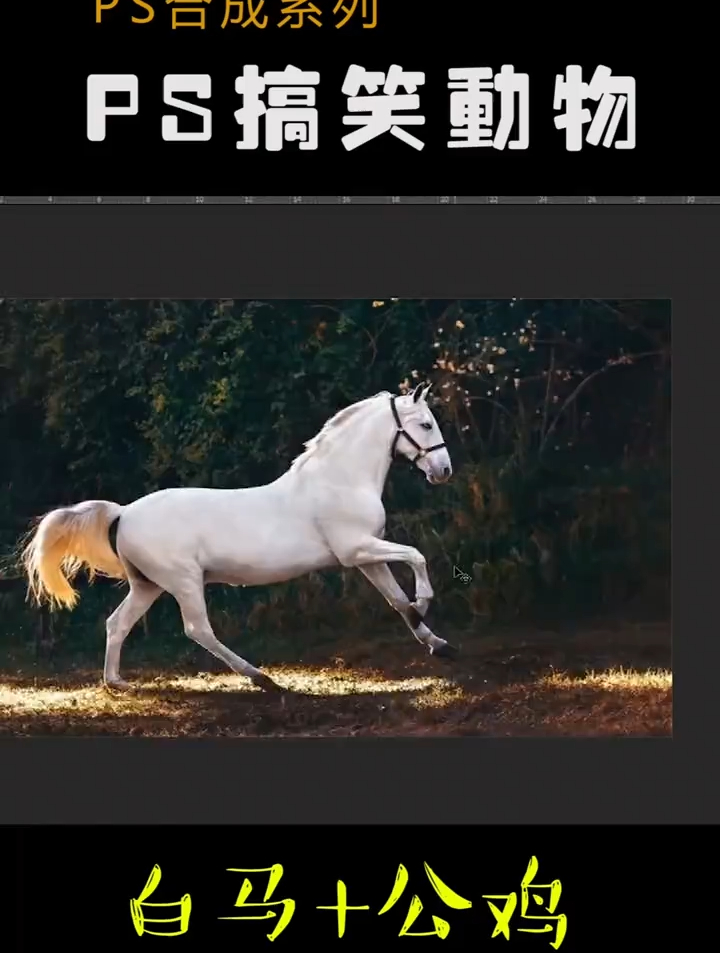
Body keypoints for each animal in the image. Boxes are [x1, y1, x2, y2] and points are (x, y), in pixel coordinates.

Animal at [20, 383, 457, 693]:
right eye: (425, 424)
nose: (443, 471)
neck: (340, 480)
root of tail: (124, 513)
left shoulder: (367, 557)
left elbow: (396, 599)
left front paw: (438, 643)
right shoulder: (356, 549)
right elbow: (416, 557)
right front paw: (424, 603)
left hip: (148, 585)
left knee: (116, 623)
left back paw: (117, 683)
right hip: (183, 581)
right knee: (198, 630)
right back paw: (261, 678)